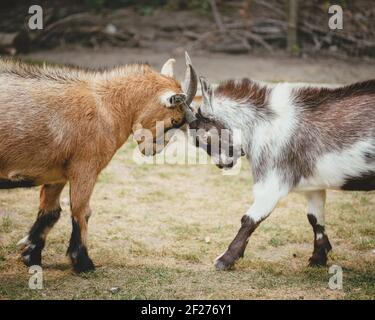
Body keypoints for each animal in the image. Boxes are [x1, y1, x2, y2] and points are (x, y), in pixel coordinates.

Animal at [0, 53, 200, 272]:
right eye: (175, 121)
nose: (154, 149)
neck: (107, 106)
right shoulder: (86, 167)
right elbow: (82, 211)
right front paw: (83, 262)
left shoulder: (56, 172)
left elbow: (51, 211)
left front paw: (31, 255)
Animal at [187, 77, 375, 270]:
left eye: (204, 136)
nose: (222, 164)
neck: (265, 125)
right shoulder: (313, 187)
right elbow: (315, 218)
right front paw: (318, 258)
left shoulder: (272, 181)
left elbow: (249, 219)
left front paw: (225, 259)